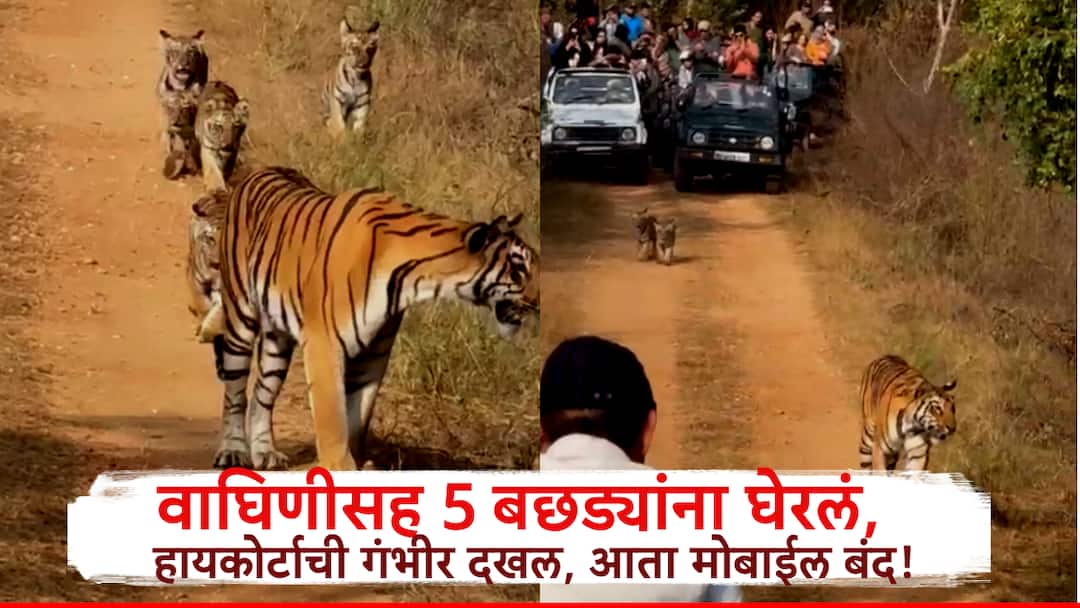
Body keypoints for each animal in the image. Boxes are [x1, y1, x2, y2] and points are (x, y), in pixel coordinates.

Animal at [205, 166, 539, 472]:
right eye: (518, 269)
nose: (538, 304)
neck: (413, 281)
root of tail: (256, 172)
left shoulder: (375, 353)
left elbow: (357, 416)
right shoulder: (323, 343)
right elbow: (333, 419)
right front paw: (340, 466)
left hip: (278, 339)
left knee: (263, 392)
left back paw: (265, 453)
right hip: (240, 320)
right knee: (235, 394)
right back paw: (232, 452)